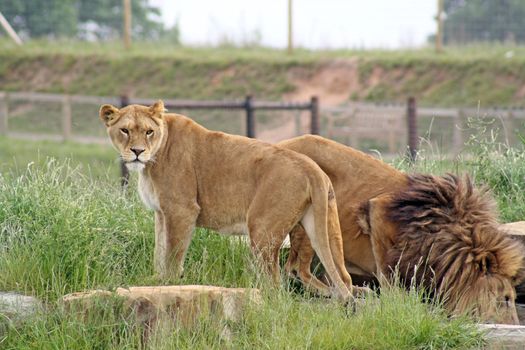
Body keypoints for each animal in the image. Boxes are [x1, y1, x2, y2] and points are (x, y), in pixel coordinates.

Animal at [99, 100, 352, 300]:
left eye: (149, 132)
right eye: (124, 130)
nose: (137, 151)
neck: (152, 161)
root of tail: (312, 169)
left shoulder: (182, 210)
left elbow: (172, 255)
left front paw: (168, 285)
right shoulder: (162, 213)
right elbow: (159, 252)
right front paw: (157, 281)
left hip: (262, 231)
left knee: (274, 283)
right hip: (326, 228)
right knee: (343, 276)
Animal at [278, 135, 524, 326]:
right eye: (505, 299)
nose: (513, 325)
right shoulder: (378, 210)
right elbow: (387, 272)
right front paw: (396, 303)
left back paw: (356, 290)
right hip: (314, 209)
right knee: (296, 269)